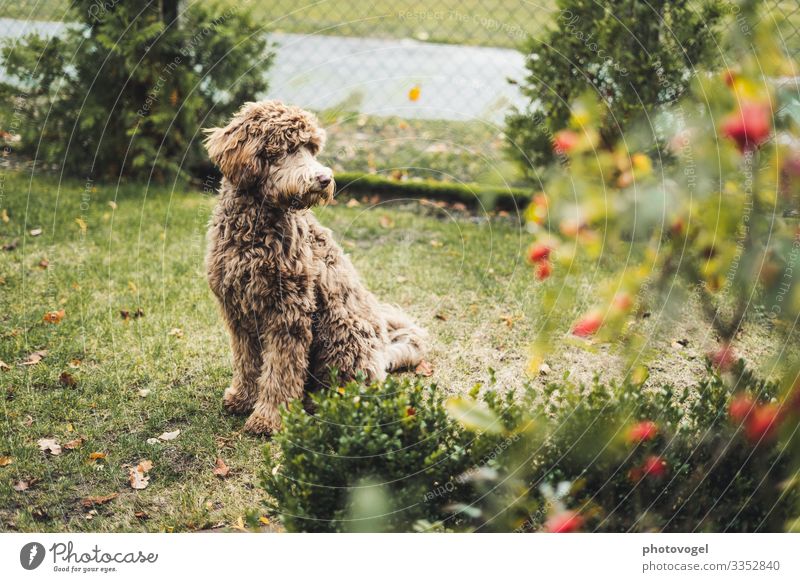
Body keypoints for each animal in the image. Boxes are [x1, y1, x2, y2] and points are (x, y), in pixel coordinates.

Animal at [205, 100, 424, 436]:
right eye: (286, 148)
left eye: (311, 148)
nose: (324, 179)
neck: (255, 227)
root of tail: (384, 352)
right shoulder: (237, 311)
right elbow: (246, 362)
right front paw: (242, 398)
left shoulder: (289, 314)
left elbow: (281, 372)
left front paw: (268, 418)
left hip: (343, 330)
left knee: (355, 386)